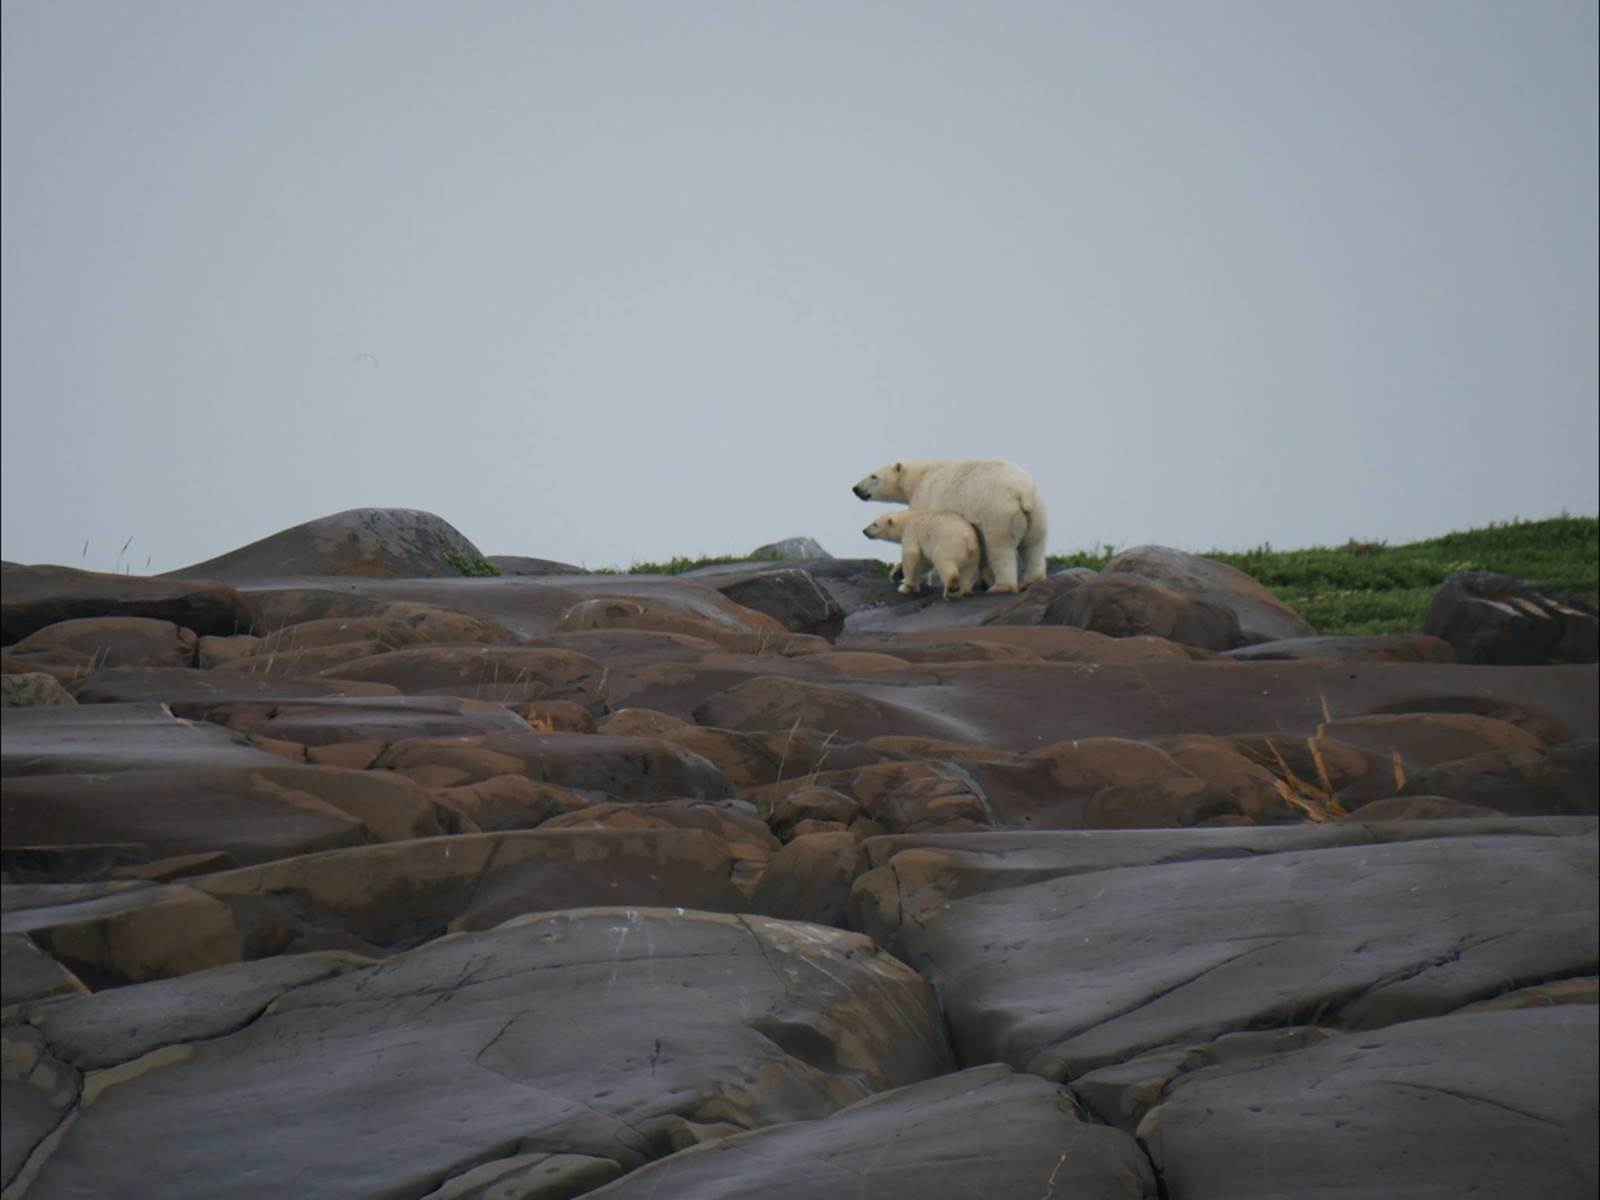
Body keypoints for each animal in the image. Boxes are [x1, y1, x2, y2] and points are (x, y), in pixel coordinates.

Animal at [852, 459, 1047, 593]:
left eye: (873, 476)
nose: (855, 489)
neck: (919, 477)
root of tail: (1022, 493)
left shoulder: (925, 500)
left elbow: (920, 539)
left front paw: (908, 577)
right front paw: (896, 573)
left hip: (999, 512)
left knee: (1000, 548)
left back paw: (1001, 586)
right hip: (1037, 511)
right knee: (1034, 545)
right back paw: (1031, 580)